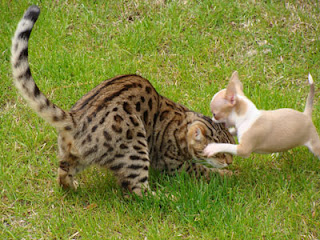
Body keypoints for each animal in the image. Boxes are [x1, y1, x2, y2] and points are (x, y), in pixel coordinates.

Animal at [11, 5, 235, 196]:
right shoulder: (174, 163)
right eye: (218, 154)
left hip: (74, 155)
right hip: (135, 148)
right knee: (138, 191)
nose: (230, 162)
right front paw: (227, 175)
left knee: (62, 175)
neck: (180, 122)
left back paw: (73, 188)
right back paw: (169, 198)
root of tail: (76, 117)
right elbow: (202, 170)